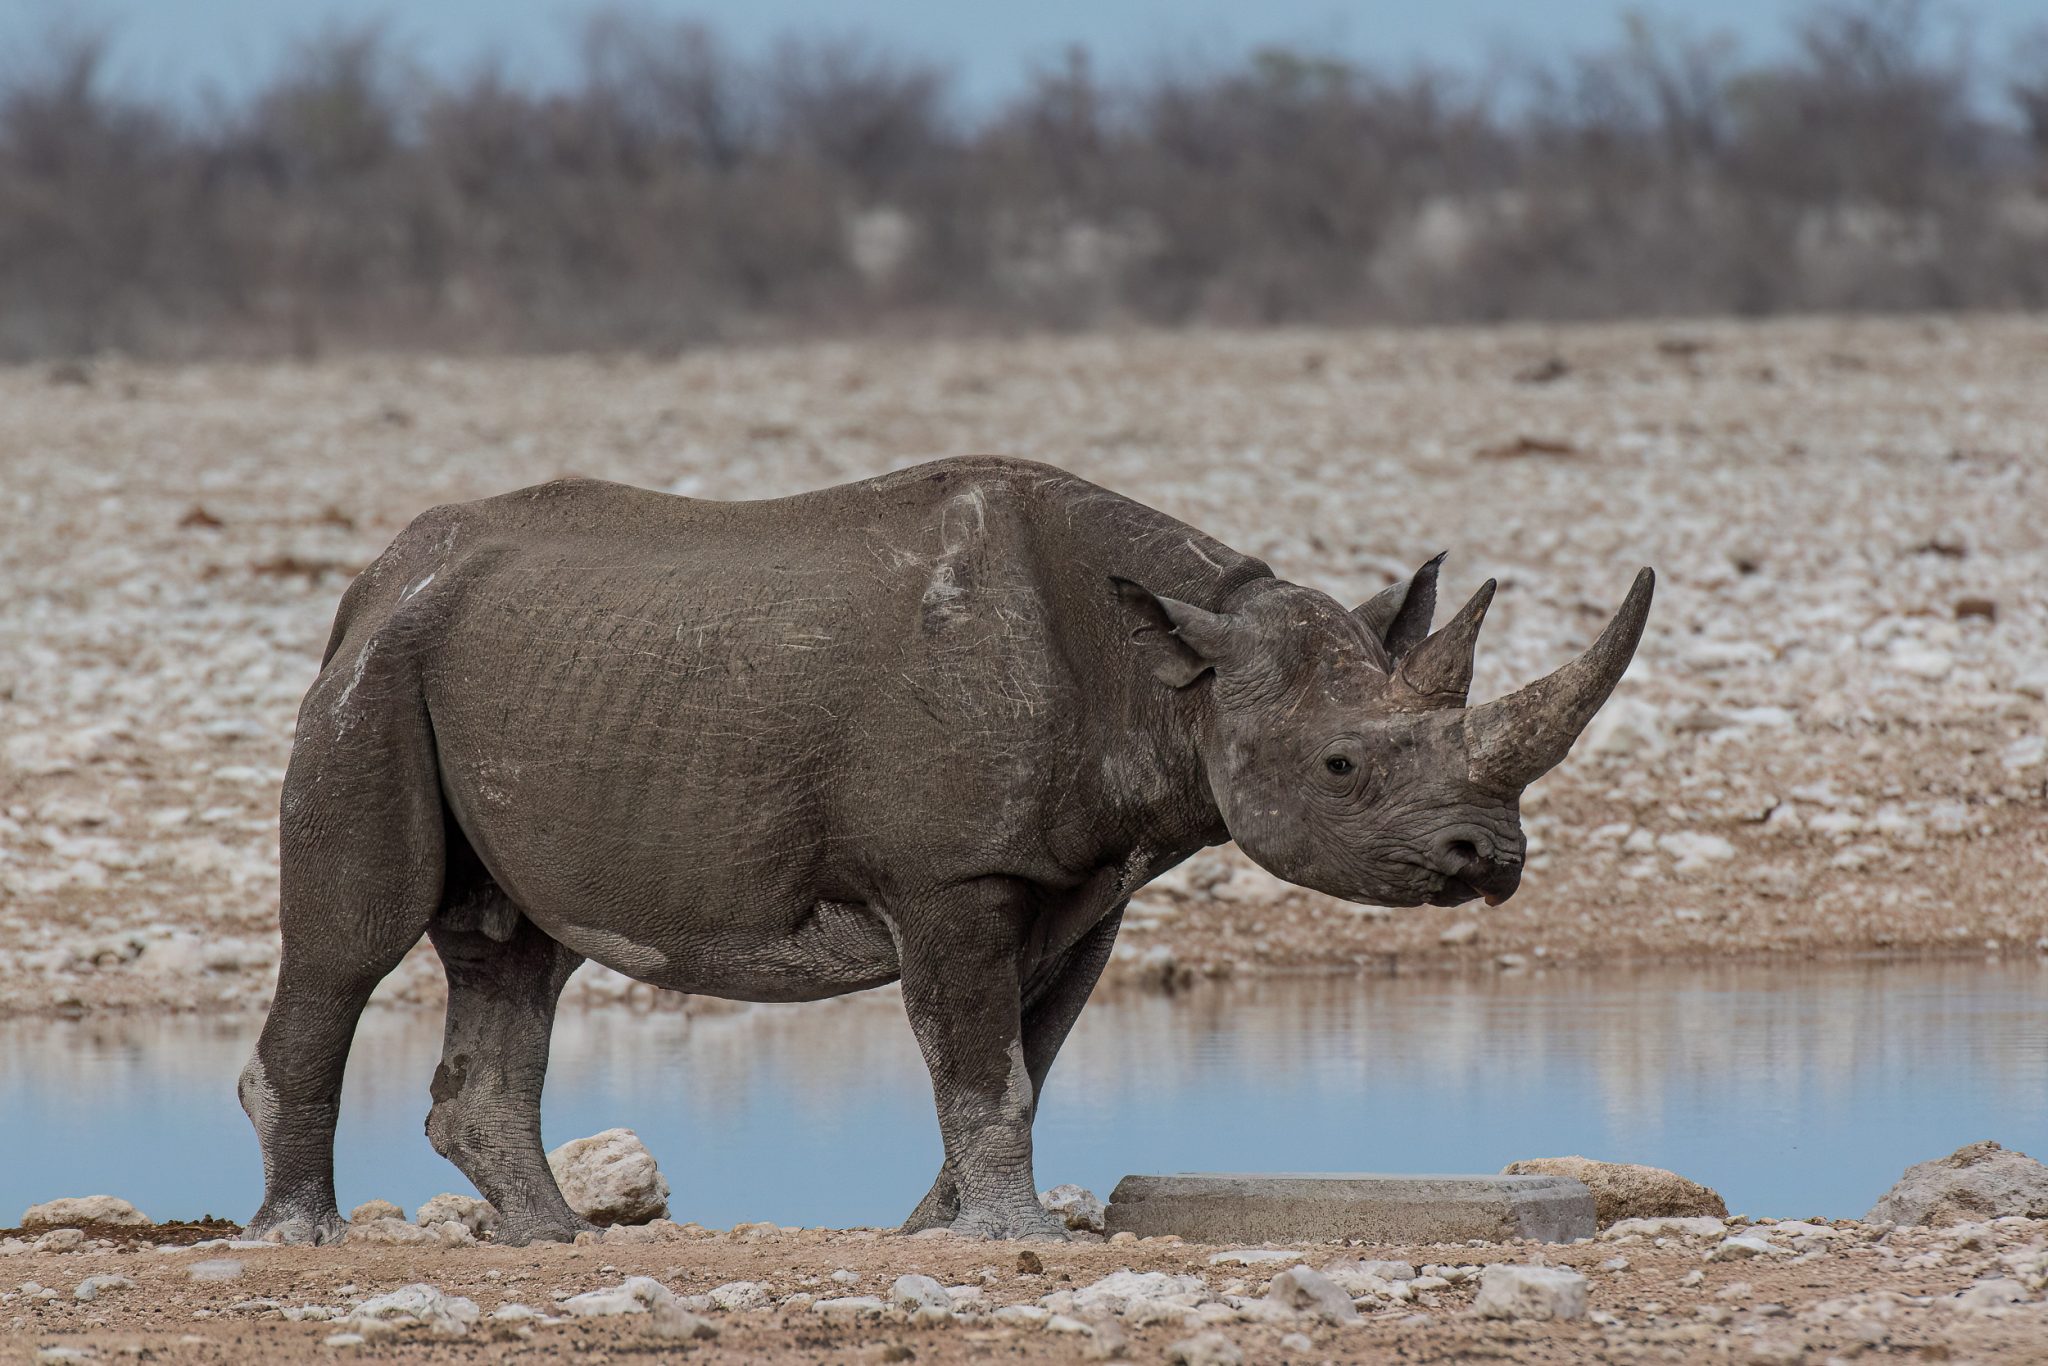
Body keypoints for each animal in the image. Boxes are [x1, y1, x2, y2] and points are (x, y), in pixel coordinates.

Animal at [240, 455, 1653, 1244]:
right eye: (1341, 769)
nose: (1486, 857)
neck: (1178, 674)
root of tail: (374, 576)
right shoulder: (952, 876)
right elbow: (985, 1065)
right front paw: (1007, 1235)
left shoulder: (1081, 883)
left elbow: (1025, 1056)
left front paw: (944, 1223)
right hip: (378, 674)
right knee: (356, 940)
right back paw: (306, 1239)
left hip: (502, 668)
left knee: (516, 950)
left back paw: (549, 1241)